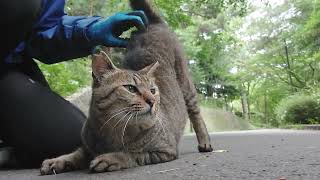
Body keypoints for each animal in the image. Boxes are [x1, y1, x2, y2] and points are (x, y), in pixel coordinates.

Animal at [40, 0, 212, 174]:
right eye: (131, 88)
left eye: (152, 91)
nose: (152, 101)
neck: (113, 131)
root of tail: (153, 23)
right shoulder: (87, 147)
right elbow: (76, 153)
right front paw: (59, 160)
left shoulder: (164, 150)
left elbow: (132, 154)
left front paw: (112, 158)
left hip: (186, 86)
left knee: (196, 114)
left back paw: (205, 142)